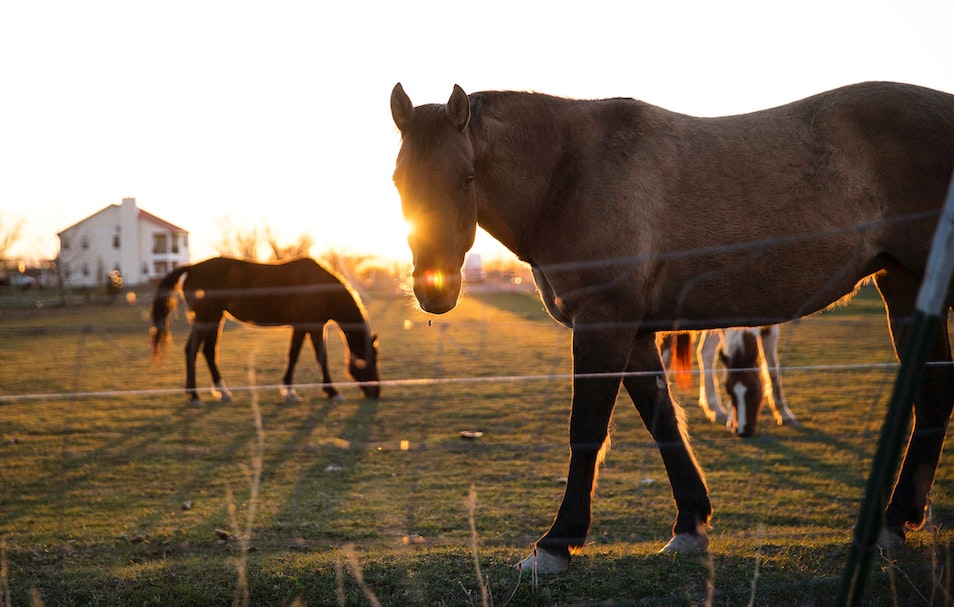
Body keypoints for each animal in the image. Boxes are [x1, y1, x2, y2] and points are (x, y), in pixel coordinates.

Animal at [151, 256, 378, 404]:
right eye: (369, 361)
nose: (376, 392)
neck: (319, 286)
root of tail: (192, 267)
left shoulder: (302, 326)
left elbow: (293, 355)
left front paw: (289, 391)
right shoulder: (313, 326)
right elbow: (320, 357)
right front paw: (331, 392)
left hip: (215, 318)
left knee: (208, 351)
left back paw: (222, 392)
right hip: (205, 318)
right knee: (192, 350)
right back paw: (194, 396)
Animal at [388, 81, 952, 576]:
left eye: (466, 177)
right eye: (399, 181)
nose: (435, 291)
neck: (569, 174)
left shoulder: (602, 325)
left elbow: (587, 431)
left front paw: (555, 544)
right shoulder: (635, 334)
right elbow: (663, 422)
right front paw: (690, 525)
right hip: (904, 285)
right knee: (933, 392)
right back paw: (895, 520)